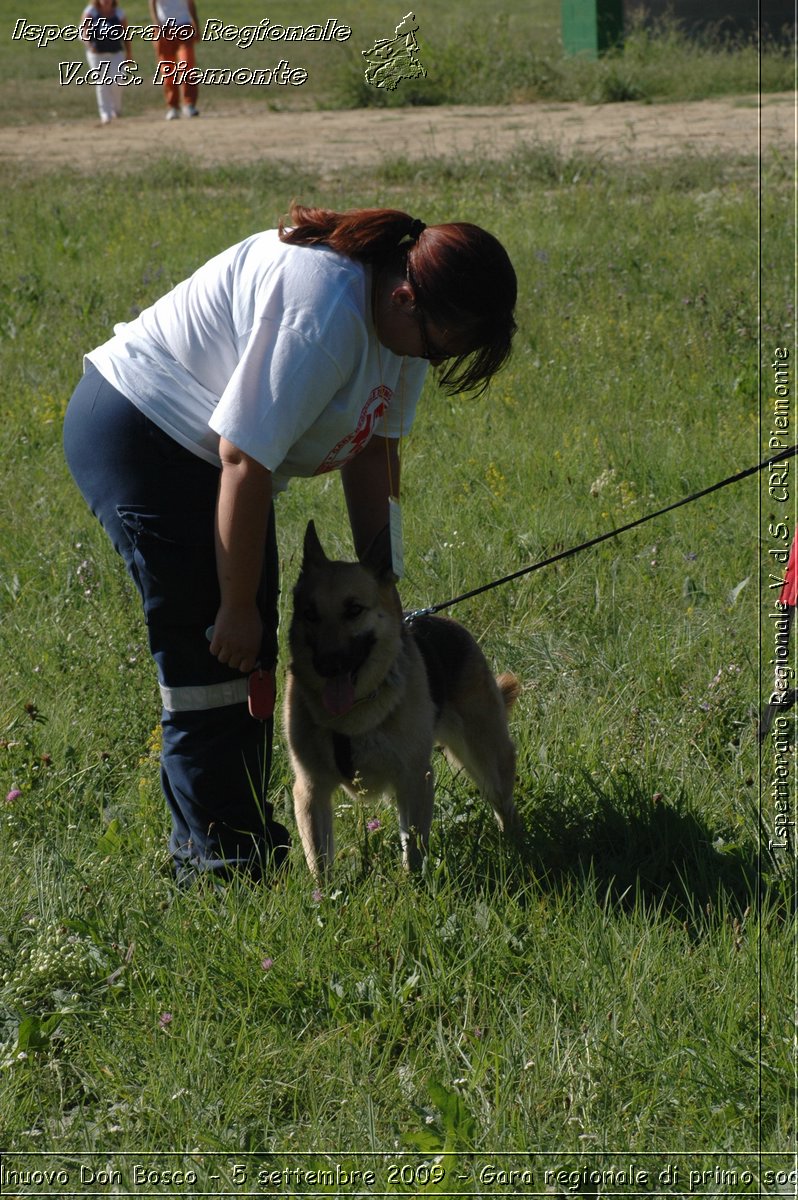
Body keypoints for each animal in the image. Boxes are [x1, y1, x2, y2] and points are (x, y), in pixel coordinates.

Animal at [282, 520, 523, 878]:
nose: (327, 665)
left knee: (504, 805)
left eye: (354, 610)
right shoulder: (311, 791)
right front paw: (323, 893)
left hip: (486, 760)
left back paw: (517, 845)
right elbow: (320, 861)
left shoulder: (414, 779)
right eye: (309, 614)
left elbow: (414, 850)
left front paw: (414, 885)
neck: (354, 714)